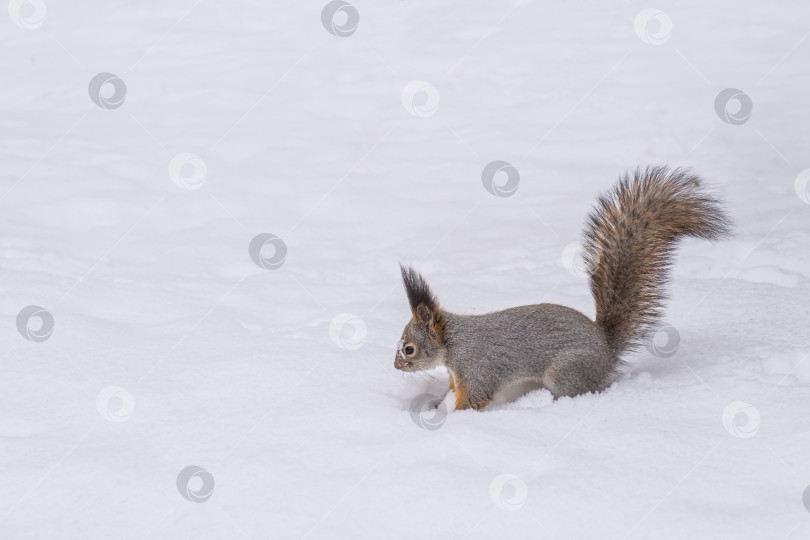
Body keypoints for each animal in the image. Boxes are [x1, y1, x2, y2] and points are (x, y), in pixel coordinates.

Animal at [392, 167, 732, 412]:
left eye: (409, 349)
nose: (396, 366)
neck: (454, 344)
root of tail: (606, 349)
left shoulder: (479, 368)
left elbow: (475, 397)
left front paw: (454, 417)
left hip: (566, 371)